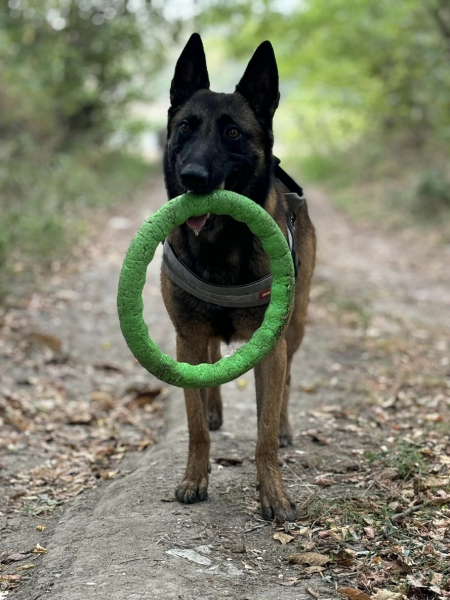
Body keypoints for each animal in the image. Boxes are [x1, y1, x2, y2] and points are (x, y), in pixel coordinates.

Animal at [162, 34, 316, 520]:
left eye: (233, 133)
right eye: (186, 127)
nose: (192, 178)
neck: (221, 244)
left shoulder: (272, 346)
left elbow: (263, 431)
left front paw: (274, 493)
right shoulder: (187, 336)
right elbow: (194, 424)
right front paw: (194, 477)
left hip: (296, 328)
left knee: (287, 381)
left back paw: (284, 427)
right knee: (211, 361)